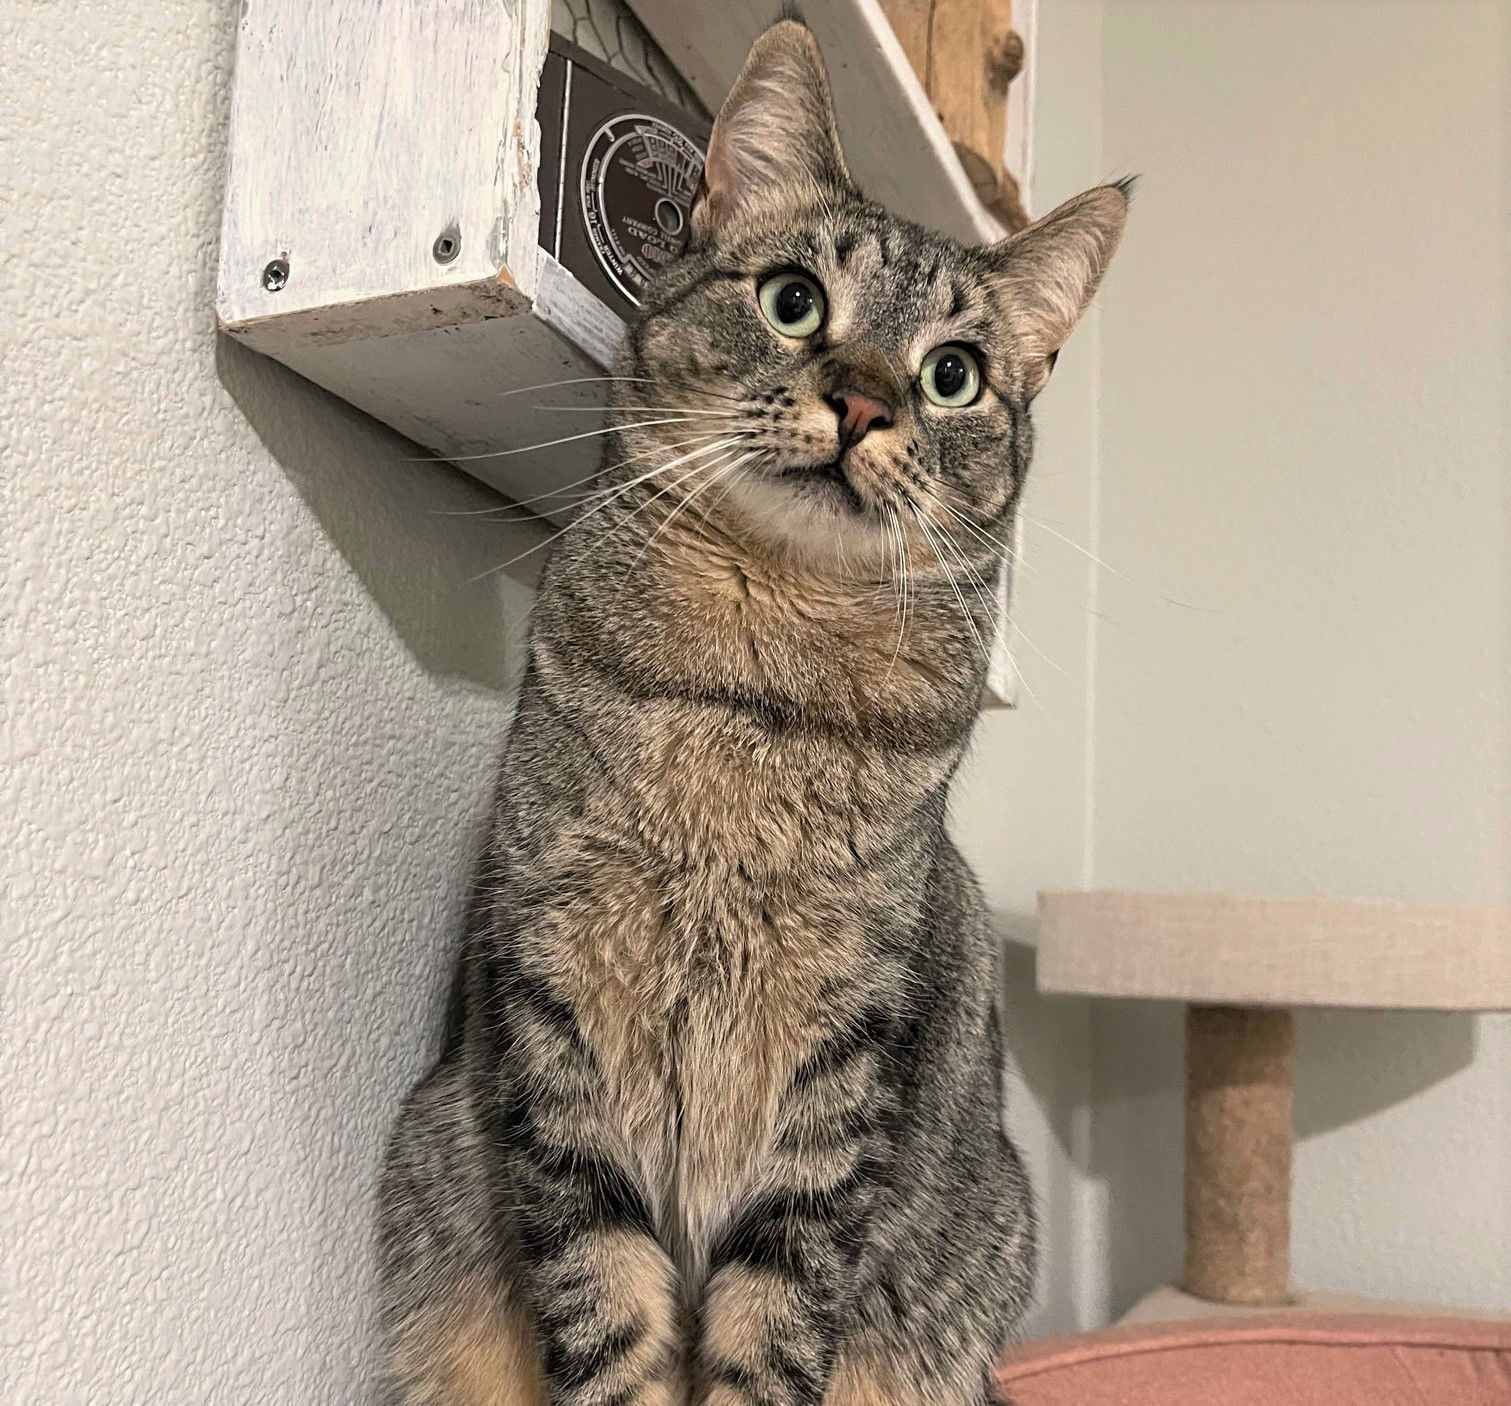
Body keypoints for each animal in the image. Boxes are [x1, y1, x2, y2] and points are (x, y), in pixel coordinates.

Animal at [377, 13, 1130, 1406]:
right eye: (793, 302)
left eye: (952, 376)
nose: (868, 401)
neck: (753, 688)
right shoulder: (561, 1024)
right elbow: (607, 1314)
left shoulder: (840, 1074)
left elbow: (770, 1324)